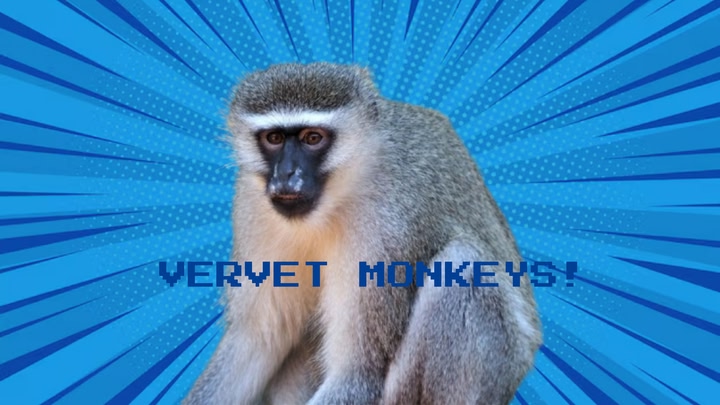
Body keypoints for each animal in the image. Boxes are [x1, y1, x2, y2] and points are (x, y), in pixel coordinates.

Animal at [183, 62, 542, 405]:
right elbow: (257, 341)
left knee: (462, 266)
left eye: (312, 138)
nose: (286, 175)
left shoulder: (388, 223)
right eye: (274, 138)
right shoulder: (252, 203)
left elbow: (357, 375)